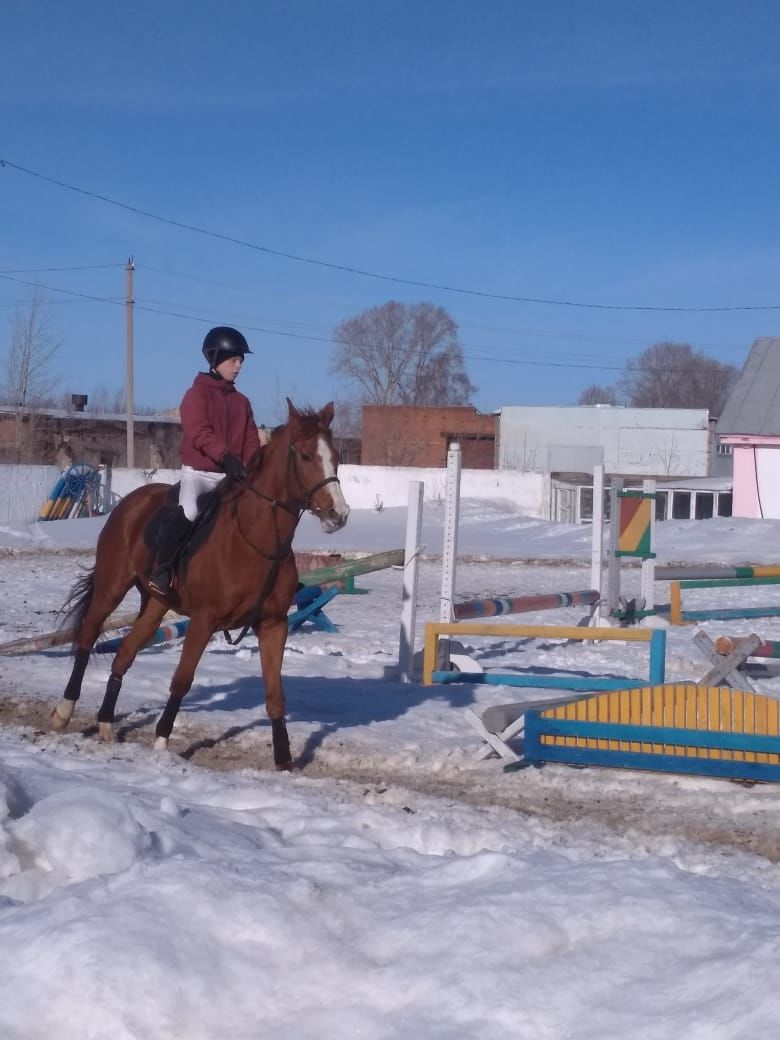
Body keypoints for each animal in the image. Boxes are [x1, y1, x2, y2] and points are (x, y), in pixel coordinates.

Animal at [52, 401, 351, 769]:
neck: (255, 538)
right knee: (87, 637)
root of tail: (130, 502)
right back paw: (64, 711)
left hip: (155, 604)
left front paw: (283, 760)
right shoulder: (203, 621)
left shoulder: (273, 624)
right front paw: (161, 742)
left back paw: (106, 724)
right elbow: (182, 679)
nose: (339, 514)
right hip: (112, 588)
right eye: (307, 456)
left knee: (124, 654)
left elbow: (275, 693)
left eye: (335, 456)